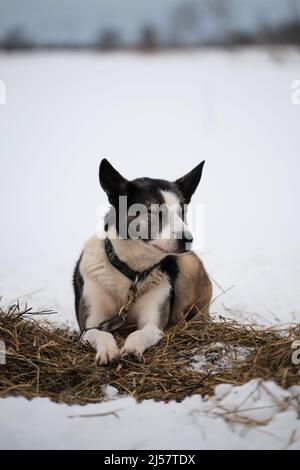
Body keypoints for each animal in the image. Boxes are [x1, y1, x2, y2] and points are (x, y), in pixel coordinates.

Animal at [73, 160, 212, 366]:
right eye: (154, 212)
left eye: (182, 213)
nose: (188, 239)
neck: (132, 272)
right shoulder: (89, 326)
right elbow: (102, 334)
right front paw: (107, 351)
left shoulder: (152, 324)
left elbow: (138, 333)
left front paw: (131, 350)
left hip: (189, 265)